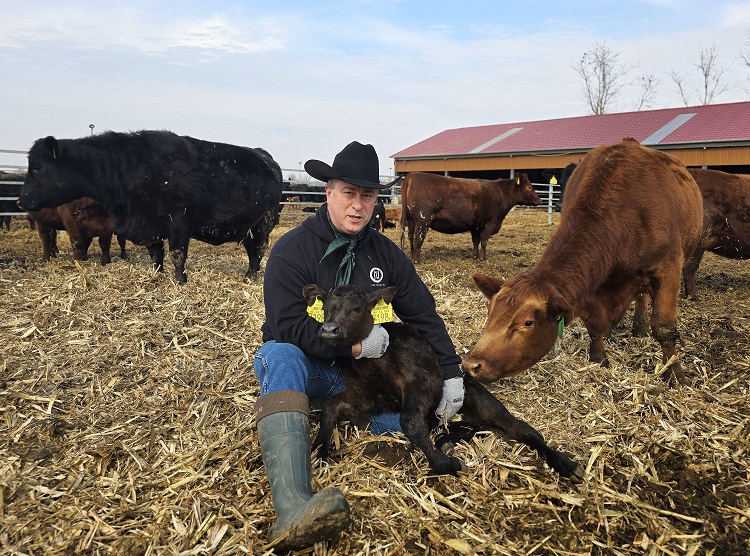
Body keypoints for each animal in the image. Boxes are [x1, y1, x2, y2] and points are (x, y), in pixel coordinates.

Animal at [17, 130, 284, 282]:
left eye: (37, 167)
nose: (20, 201)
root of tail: (264, 157)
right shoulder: (148, 224)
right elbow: (156, 254)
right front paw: (156, 276)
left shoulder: (179, 219)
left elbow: (177, 253)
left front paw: (180, 281)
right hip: (248, 226)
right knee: (252, 249)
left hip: (264, 222)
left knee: (259, 249)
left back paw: (250, 277)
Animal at [302, 282, 584, 482]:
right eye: (325, 309)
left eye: (357, 308)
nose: (329, 330)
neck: (375, 362)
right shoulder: (369, 393)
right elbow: (331, 406)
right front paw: (319, 450)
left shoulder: (422, 381)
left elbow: (410, 422)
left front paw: (444, 465)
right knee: (463, 426)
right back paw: (447, 441)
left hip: (481, 400)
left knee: (521, 429)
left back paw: (566, 464)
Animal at [400, 172, 540, 262]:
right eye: (530, 187)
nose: (540, 200)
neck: (500, 192)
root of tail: (412, 175)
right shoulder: (491, 222)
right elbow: (484, 239)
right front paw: (483, 258)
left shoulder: (476, 225)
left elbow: (476, 241)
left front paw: (475, 255)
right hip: (423, 220)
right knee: (418, 238)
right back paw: (417, 260)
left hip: (411, 219)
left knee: (410, 236)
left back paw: (411, 256)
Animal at [464, 137, 704, 384]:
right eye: (490, 310)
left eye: (527, 322)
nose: (471, 364)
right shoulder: (592, 289)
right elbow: (594, 326)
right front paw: (598, 358)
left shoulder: (668, 270)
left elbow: (664, 327)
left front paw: (674, 373)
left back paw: (640, 326)